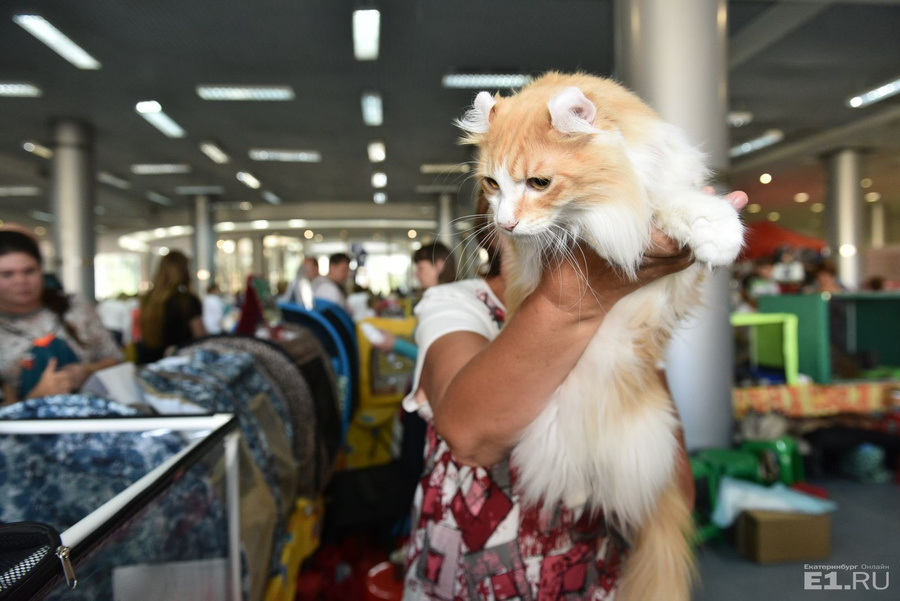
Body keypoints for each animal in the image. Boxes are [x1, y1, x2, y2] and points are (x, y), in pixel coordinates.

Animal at [458, 71, 744, 600]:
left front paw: (716, 231)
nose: (504, 223)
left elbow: (672, 200)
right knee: (573, 469)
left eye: (539, 182)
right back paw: (577, 492)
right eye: (491, 183)